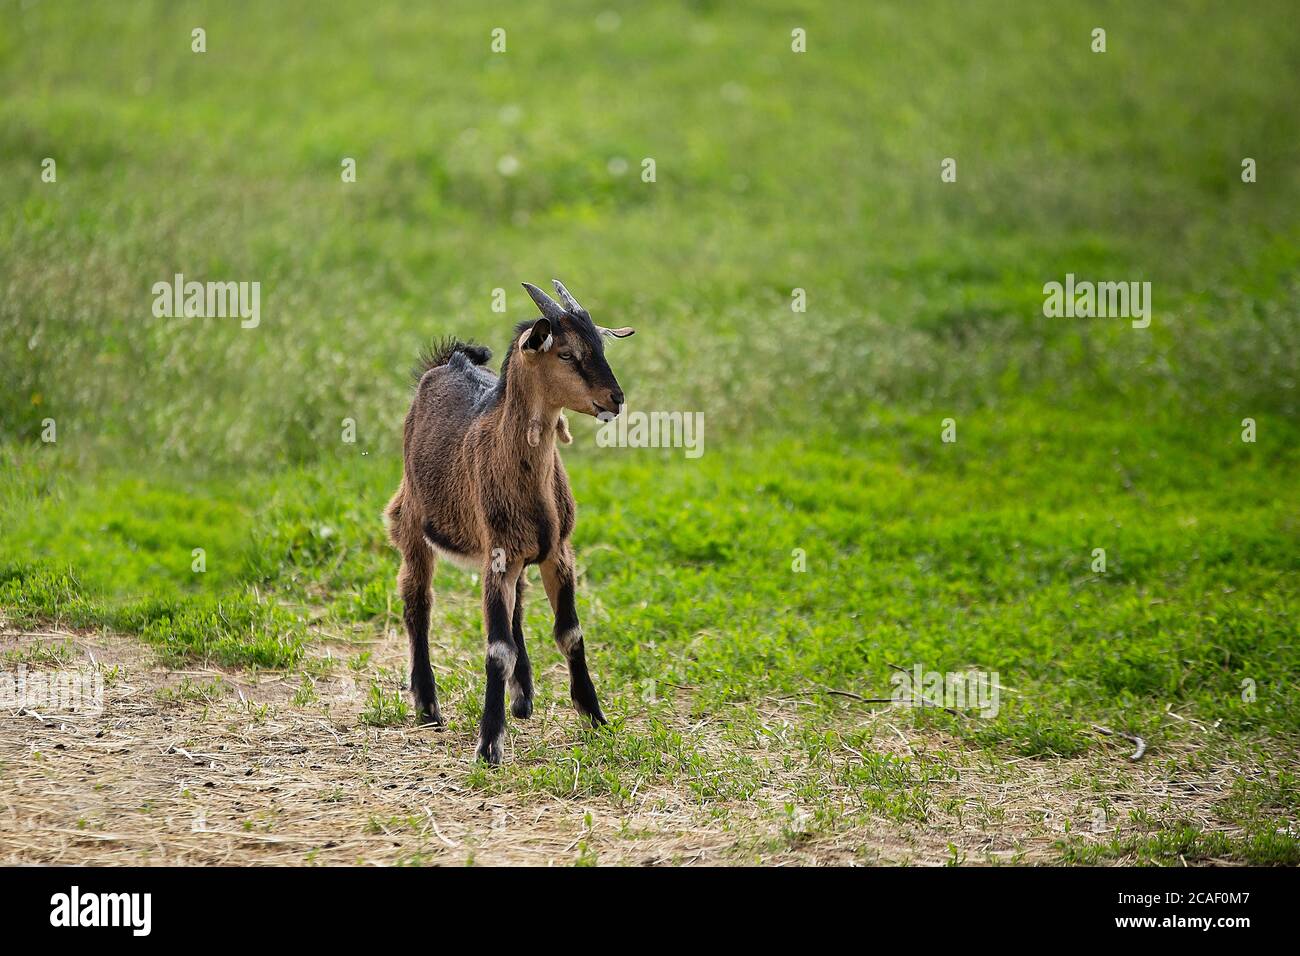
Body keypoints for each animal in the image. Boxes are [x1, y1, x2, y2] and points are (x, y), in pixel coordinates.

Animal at [385, 279, 635, 764]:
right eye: (566, 354)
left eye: (599, 345)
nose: (615, 399)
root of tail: (449, 361)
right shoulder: (496, 554)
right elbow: (497, 650)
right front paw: (488, 744)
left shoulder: (558, 551)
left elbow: (570, 633)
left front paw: (595, 717)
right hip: (411, 524)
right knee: (417, 602)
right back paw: (428, 706)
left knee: (517, 603)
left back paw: (523, 697)